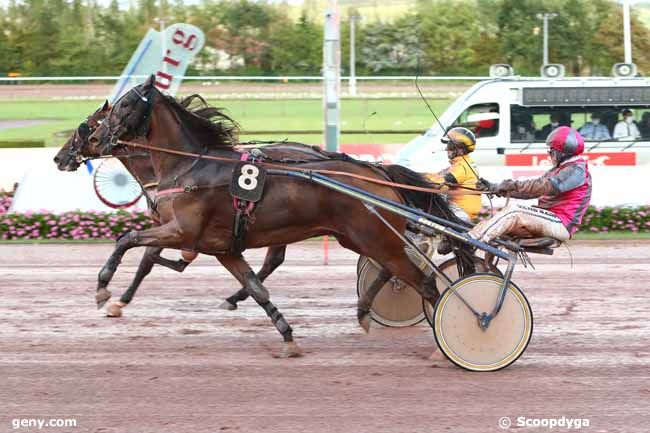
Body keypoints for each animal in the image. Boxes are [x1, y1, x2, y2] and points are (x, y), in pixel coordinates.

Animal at [78, 77, 468, 354]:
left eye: (125, 104)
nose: (98, 139)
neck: (191, 168)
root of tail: (375, 172)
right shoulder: (222, 248)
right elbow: (256, 287)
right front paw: (287, 335)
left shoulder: (182, 231)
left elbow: (128, 240)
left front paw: (104, 290)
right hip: (359, 237)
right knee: (392, 271)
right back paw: (365, 312)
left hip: (373, 236)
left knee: (423, 281)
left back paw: (452, 333)